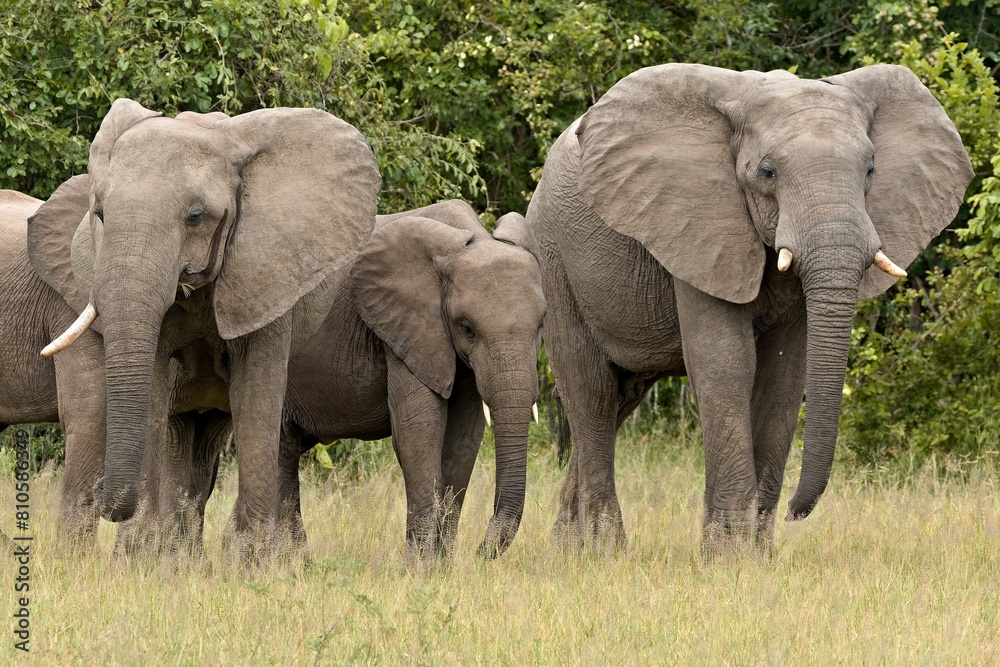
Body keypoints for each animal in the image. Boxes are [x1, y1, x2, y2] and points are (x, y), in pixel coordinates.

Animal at [28, 99, 378, 560]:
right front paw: (137, 562)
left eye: (196, 216)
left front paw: (251, 562)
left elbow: (256, 400)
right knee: (181, 434)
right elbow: (154, 394)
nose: (103, 494)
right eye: (99, 214)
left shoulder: (265, 271)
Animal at [528, 64, 972, 552]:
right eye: (767, 172)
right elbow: (726, 362)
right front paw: (727, 557)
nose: (797, 512)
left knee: (619, 401)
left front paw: (757, 555)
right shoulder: (699, 223)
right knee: (591, 392)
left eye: (871, 169)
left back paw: (571, 547)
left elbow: (784, 373)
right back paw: (605, 552)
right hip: (553, 257)